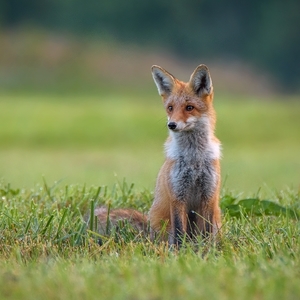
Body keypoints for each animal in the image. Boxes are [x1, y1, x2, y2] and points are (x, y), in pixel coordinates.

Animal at [95, 64, 221, 245]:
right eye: (170, 108)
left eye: (189, 107)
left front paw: (209, 249)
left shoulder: (209, 195)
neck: (194, 159)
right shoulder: (177, 195)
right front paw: (180, 251)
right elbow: (178, 231)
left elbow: (207, 232)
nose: (171, 124)